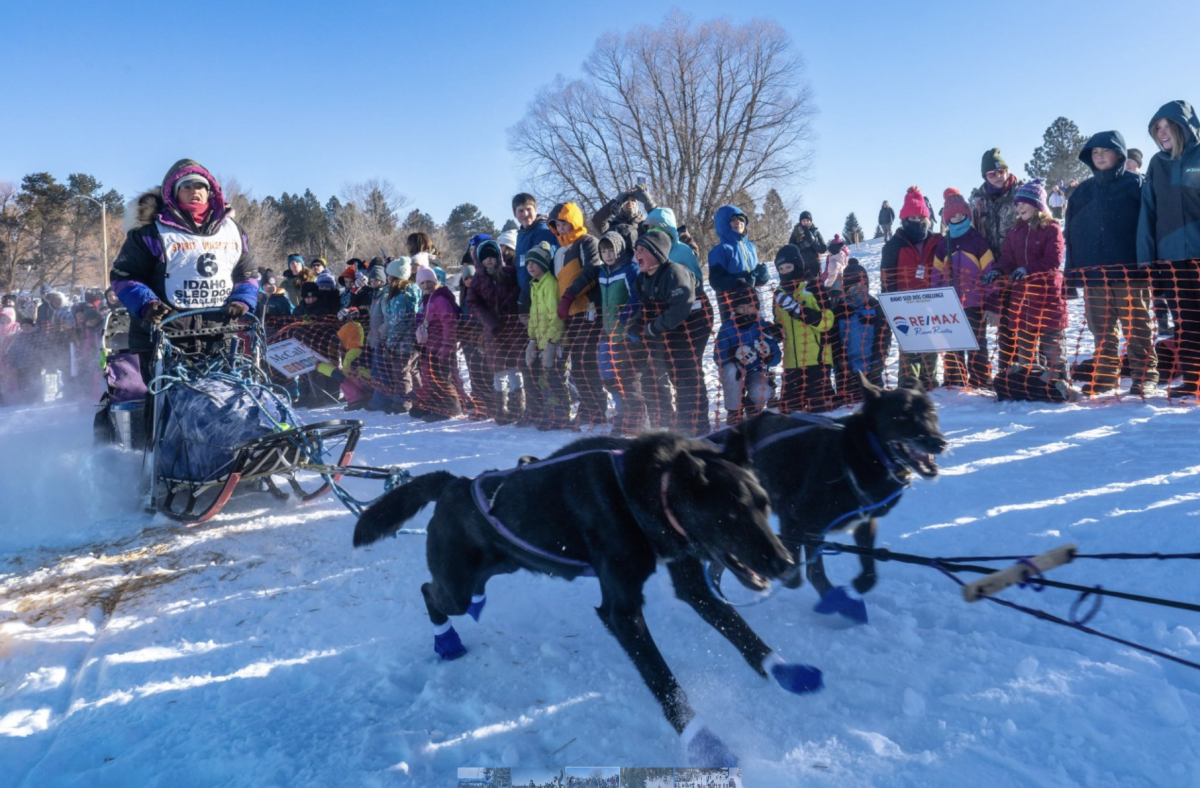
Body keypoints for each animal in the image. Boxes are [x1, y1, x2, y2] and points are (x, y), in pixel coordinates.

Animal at [352, 426, 825, 767]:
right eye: (730, 514)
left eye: (764, 504)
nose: (786, 563)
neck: (640, 490)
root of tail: (455, 483)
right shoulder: (621, 611)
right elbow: (666, 684)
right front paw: (704, 743)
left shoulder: (690, 582)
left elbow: (740, 631)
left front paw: (784, 671)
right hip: (457, 585)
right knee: (430, 592)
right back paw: (446, 640)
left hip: (503, 565)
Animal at [710, 374, 945, 618]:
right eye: (902, 416)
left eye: (931, 412)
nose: (938, 442)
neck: (856, 455)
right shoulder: (797, 520)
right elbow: (804, 574)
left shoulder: (863, 521)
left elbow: (868, 570)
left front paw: (858, 585)